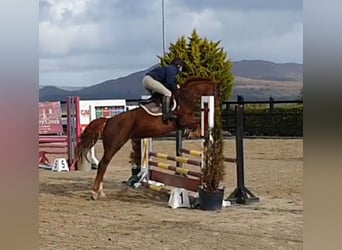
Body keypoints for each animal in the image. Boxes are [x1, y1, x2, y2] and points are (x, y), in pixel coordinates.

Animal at [74, 76, 222, 199]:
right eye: (218, 93)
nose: (218, 108)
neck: (186, 97)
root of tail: (108, 120)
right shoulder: (183, 120)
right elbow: (198, 122)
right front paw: (197, 132)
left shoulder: (182, 123)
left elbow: (197, 122)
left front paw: (194, 133)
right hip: (115, 144)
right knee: (103, 164)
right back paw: (95, 192)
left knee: (103, 165)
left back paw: (100, 191)